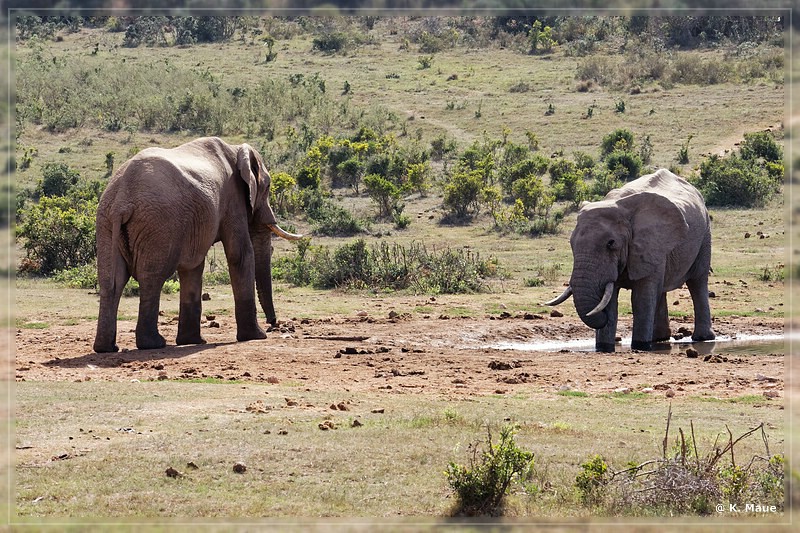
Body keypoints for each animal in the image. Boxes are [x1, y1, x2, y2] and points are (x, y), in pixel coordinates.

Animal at [91, 136, 304, 354]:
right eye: (268, 187)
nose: (273, 323)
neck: (235, 150)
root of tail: (121, 201)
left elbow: (193, 266)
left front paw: (192, 341)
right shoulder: (232, 198)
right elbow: (240, 254)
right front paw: (256, 336)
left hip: (106, 223)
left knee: (112, 282)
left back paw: (107, 348)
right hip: (158, 225)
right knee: (152, 278)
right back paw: (153, 344)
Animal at [548, 168, 716, 352]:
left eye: (611, 244)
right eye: (571, 243)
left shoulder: (649, 244)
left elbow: (641, 299)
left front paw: (640, 346)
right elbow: (610, 299)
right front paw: (604, 348)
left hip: (705, 234)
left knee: (697, 282)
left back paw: (703, 338)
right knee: (662, 290)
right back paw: (660, 339)